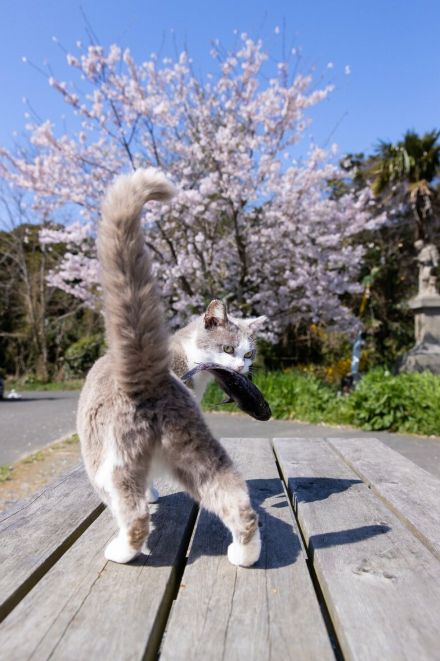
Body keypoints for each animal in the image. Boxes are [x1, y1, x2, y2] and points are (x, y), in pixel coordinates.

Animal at [77, 168, 262, 564]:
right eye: (229, 349)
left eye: (249, 353)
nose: (242, 369)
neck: (185, 356)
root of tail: (145, 373)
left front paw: (151, 495)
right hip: (199, 453)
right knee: (236, 500)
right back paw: (245, 554)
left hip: (106, 462)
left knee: (132, 512)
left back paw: (122, 550)